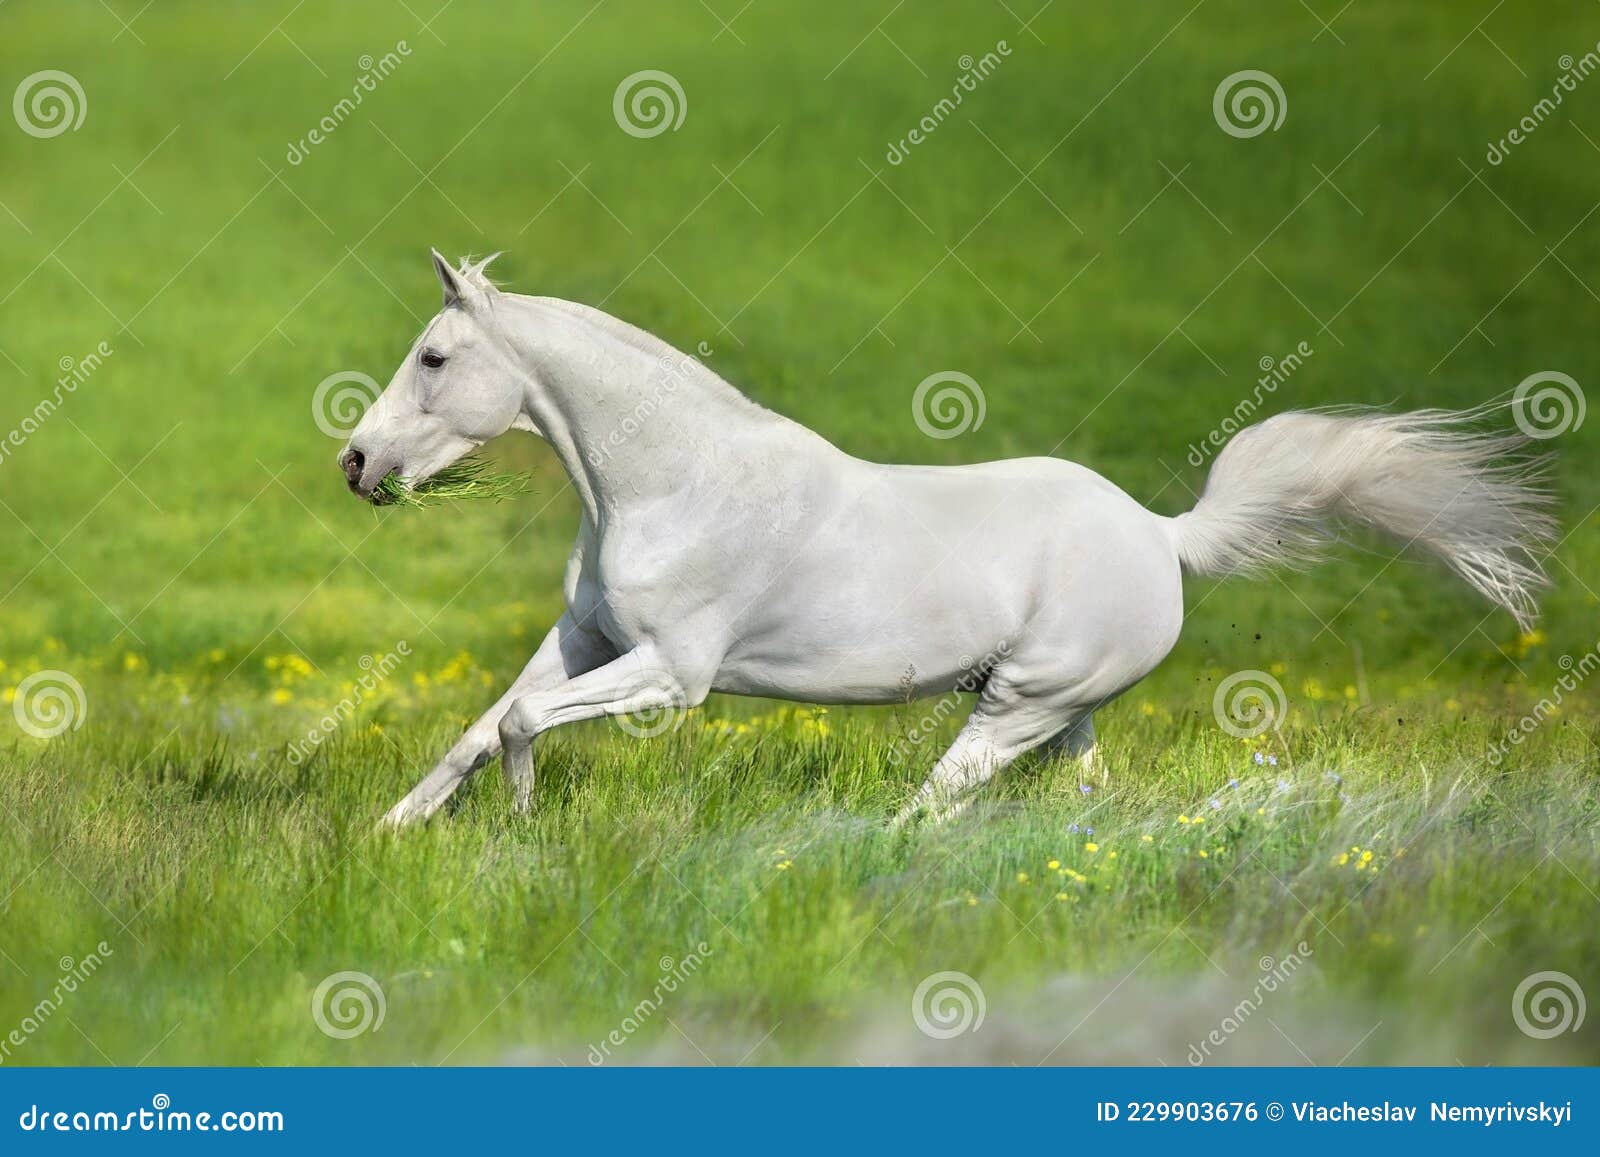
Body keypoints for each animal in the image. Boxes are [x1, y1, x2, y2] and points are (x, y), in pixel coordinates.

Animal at [344, 252, 1555, 832]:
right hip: (1066, 716)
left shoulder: (671, 674)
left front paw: (521, 825)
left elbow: (520, 726)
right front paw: (391, 832)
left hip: (1019, 702)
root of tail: (1165, 538)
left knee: (931, 808)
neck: (676, 481)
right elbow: (481, 724)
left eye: (435, 358)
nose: (356, 463)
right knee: (1085, 803)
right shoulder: (588, 638)